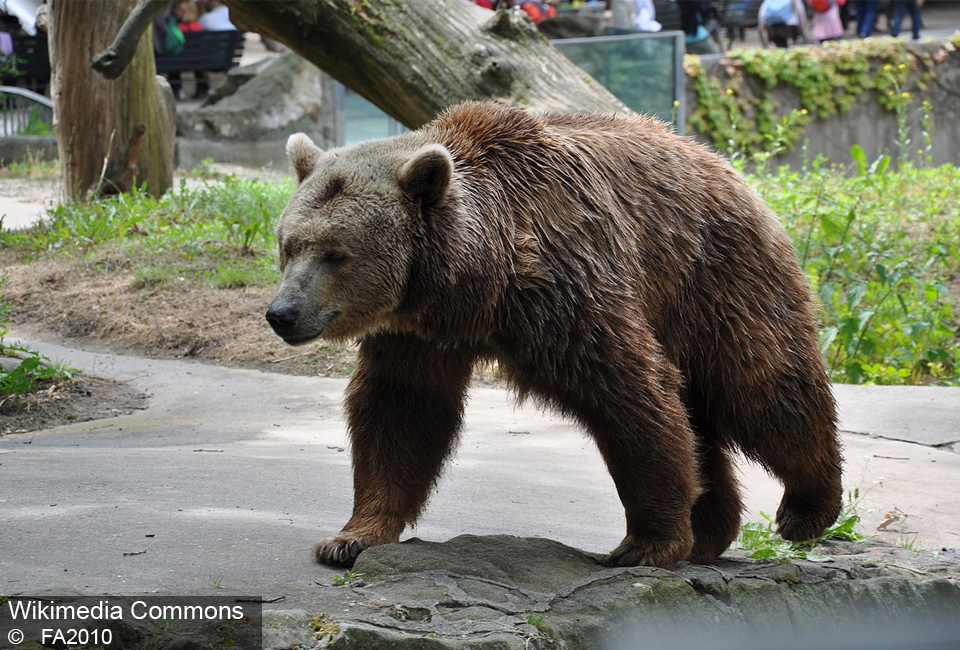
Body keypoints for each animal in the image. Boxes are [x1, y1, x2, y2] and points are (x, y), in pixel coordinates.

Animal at [266, 101, 844, 568]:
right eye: (289, 244)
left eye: (336, 253)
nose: (282, 313)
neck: (478, 281)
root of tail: (723, 163)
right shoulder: (417, 331)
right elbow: (401, 410)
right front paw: (351, 537)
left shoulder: (567, 288)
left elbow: (630, 394)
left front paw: (645, 543)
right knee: (706, 416)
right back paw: (711, 531)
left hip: (714, 276)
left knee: (762, 384)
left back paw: (806, 508)